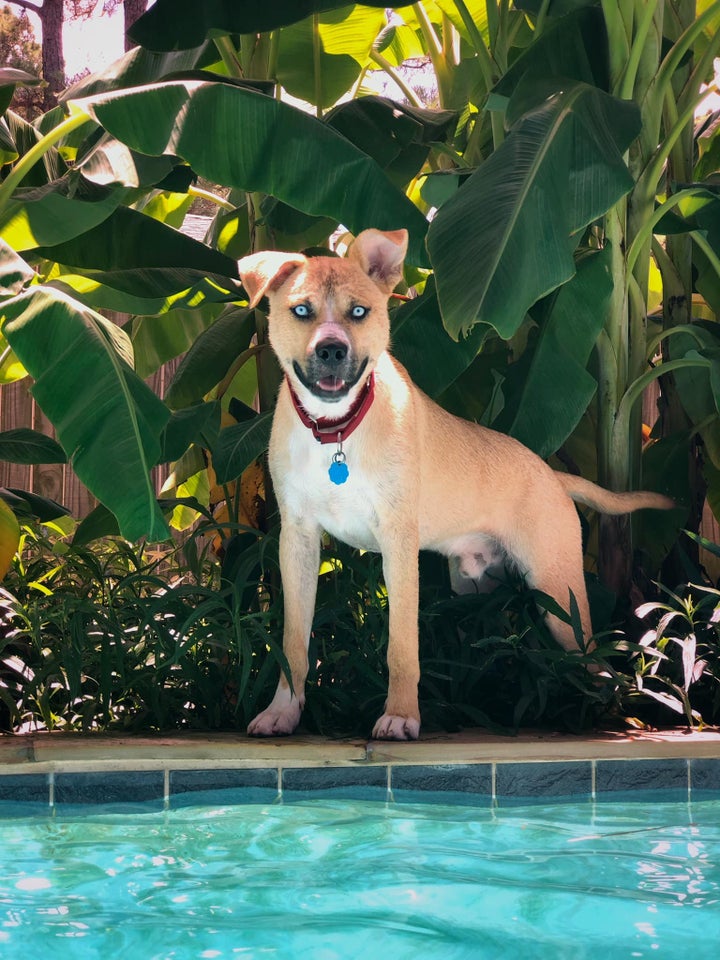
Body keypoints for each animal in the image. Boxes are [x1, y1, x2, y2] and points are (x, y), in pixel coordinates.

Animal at [238, 231, 676, 744]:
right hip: (477, 588)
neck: (337, 432)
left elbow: (402, 647)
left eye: (359, 311)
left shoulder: (398, 545)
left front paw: (401, 716)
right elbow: (292, 644)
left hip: (558, 592)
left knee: (592, 661)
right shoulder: (298, 541)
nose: (331, 350)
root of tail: (552, 474)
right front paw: (283, 711)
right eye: (301, 310)